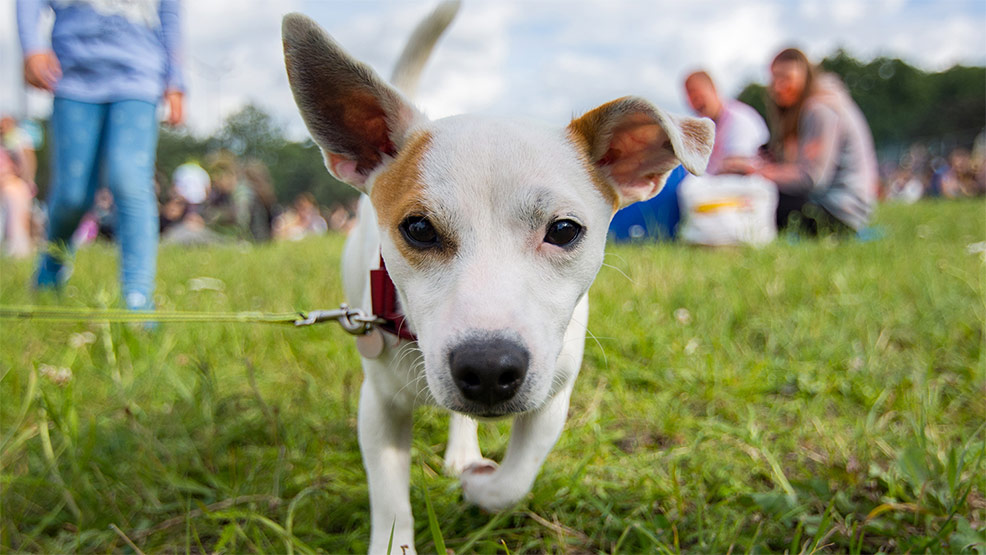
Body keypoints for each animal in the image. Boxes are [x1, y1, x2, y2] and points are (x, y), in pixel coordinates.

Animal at [280, 3, 712, 552]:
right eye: (418, 228)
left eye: (564, 230)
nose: (487, 369)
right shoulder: (379, 407)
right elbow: (390, 497)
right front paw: (396, 539)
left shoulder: (552, 399)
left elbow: (515, 480)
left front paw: (480, 487)